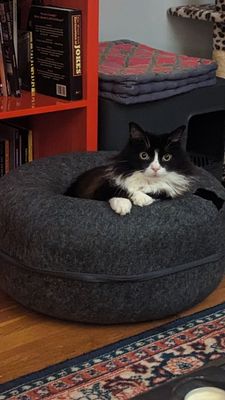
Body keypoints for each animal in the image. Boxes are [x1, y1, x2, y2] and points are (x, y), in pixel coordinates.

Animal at [64, 122, 196, 214]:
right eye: (144, 155)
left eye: (167, 157)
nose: (155, 168)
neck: (147, 181)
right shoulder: (101, 187)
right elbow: (119, 190)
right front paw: (123, 205)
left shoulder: (169, 191)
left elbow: (158, 191)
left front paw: (143, 198)